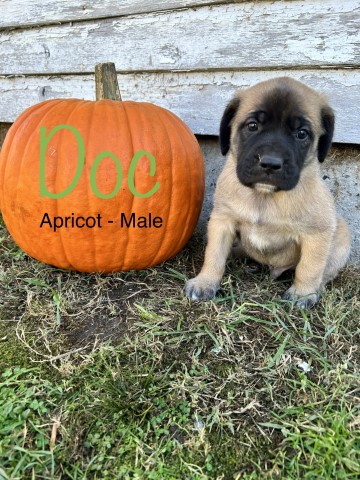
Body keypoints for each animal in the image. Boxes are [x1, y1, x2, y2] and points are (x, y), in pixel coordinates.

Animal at [186, 75, 352, 308]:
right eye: (252, 126)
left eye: (302, 134)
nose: (270, 163)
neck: (264, 196)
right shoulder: (222, 221)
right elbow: (214, 255)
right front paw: (205, 282)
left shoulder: (317, 233)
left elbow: (310, 267)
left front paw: (302, 294)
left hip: (342, 235)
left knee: (325, 272)